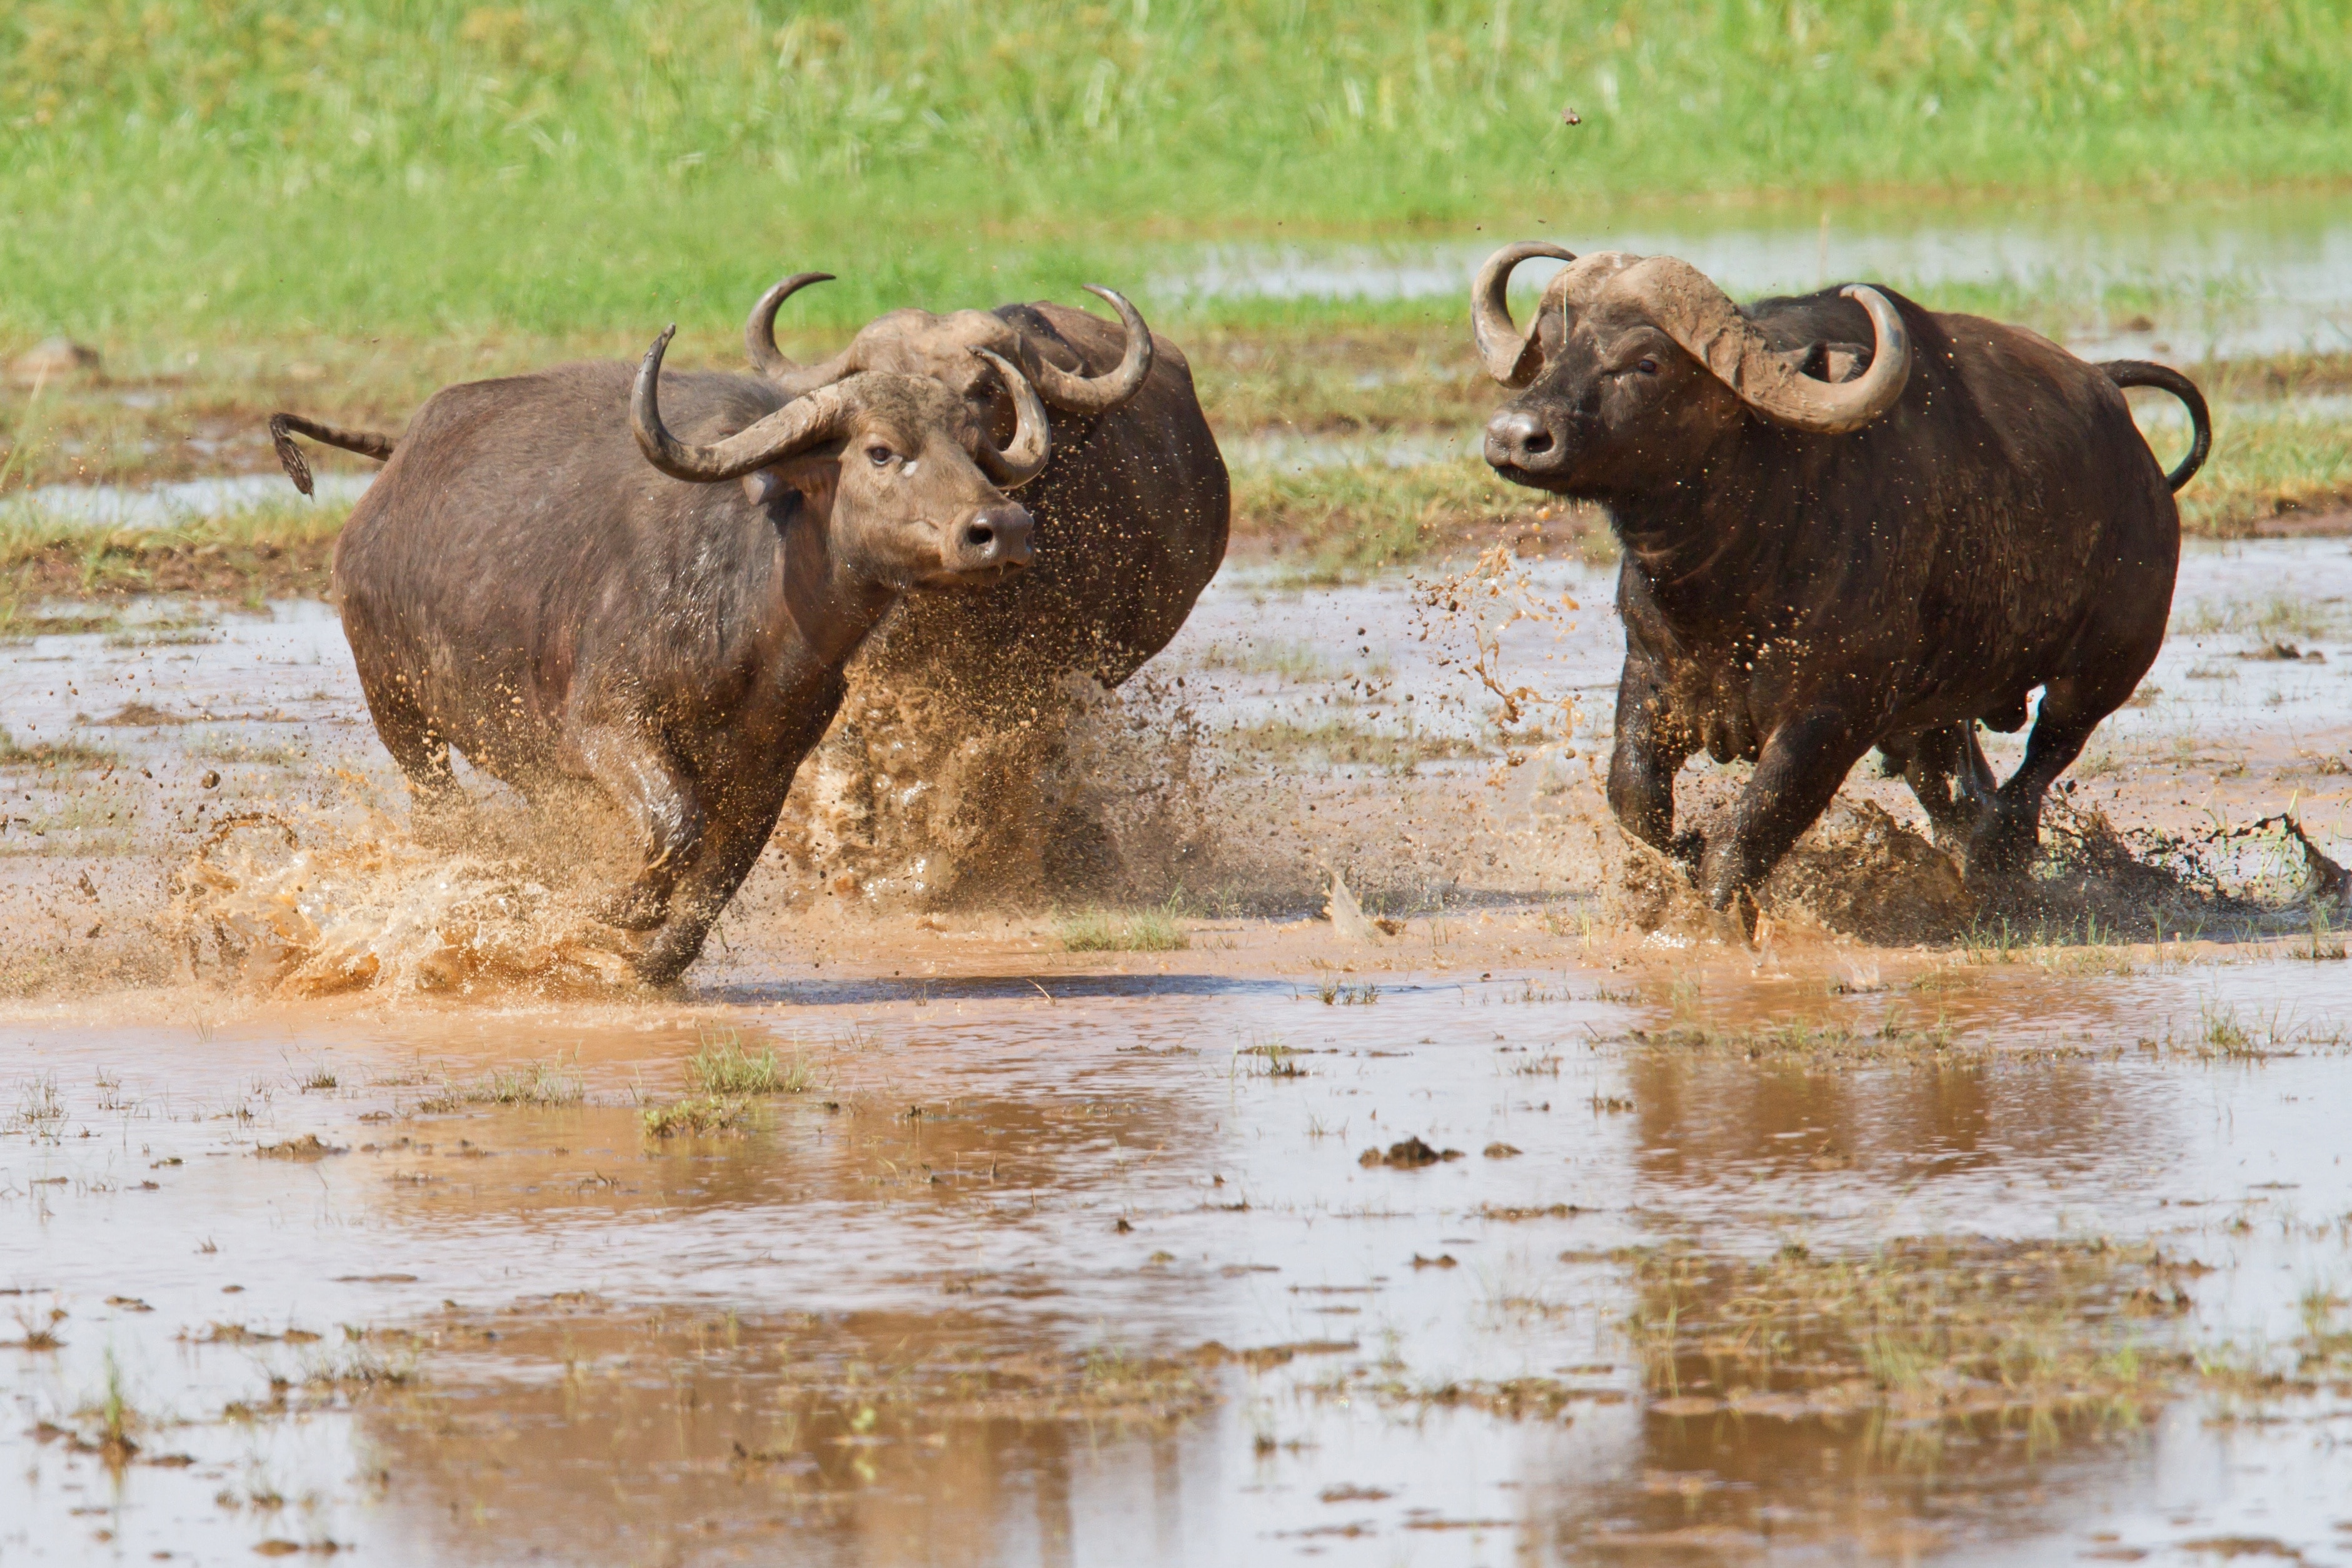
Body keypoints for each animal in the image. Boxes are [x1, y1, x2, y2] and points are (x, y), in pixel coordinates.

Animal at [266, 326, 1058, 987]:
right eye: (882, 451)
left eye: (974, 448)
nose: (1003, 527)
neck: (761, 611)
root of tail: (390, 480)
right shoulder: (607, 729)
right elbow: (675, 825)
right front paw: (609, 908)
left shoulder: (769, 773)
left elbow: (714, 884)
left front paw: (647, 960)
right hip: (398, 709)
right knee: (440, 815)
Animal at [1467, 245, 2201, 931]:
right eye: (1550, 348)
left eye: (1647, 364)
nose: (1513, 436)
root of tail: (2129, 440)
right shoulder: (1652, 678)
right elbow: (1636, 805)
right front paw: (1673, 869)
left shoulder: (1831, 715)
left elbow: (1750, 830)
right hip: (1932, 715)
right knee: (1955, 788)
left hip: (2106, 668)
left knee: (2039, 766)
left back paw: (1999, 861)